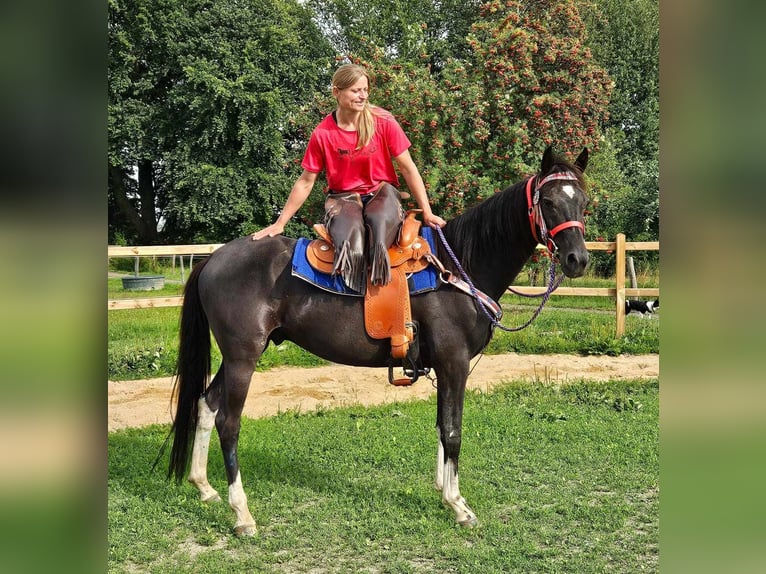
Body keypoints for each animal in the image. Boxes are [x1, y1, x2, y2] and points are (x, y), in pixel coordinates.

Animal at [168, 145, 592, 536]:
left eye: (583, 203)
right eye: (549, 202)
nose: (578, 260)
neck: (459, 268)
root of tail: (214, 258)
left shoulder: (444, 367)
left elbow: (441, 428)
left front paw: (444, 493)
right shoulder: (454, 363)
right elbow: (453, 431)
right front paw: (459, 506)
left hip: (234, 357)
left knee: (206, 405)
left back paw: (204, 487)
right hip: (243, 356)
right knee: (229, 422)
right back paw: (242, 514)